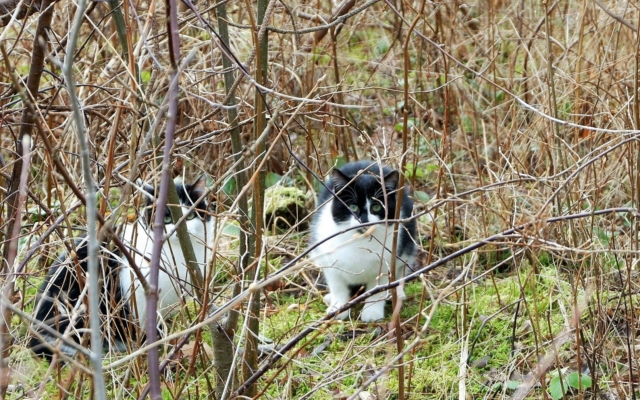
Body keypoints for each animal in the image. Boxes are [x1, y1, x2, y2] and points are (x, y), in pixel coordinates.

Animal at [309, 161, 417, 322]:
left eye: (376, 207)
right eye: (352, 207)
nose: (364, 221)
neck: (359, 240)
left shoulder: (385, 264)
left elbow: (377, 289)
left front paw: (372, 312)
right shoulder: (330, 263)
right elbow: (338, 287)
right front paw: (338, 309)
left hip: (406, 248)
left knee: (400, 270)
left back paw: (397, 294)